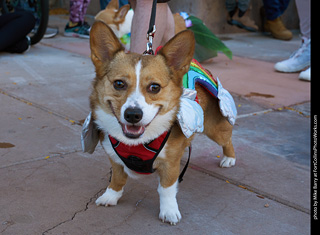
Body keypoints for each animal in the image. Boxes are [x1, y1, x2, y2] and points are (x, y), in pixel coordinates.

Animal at [87, 21, 235, 225]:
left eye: (154, 87)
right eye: (119, 84)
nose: (133, 115)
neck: (136, 143)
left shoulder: (170, 165)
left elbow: (166, 189)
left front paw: (169, 211)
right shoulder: (114, 159)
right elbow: (117, 179)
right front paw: (111, 196)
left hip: (216, 130)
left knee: (227, 139)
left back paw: (229, 158)